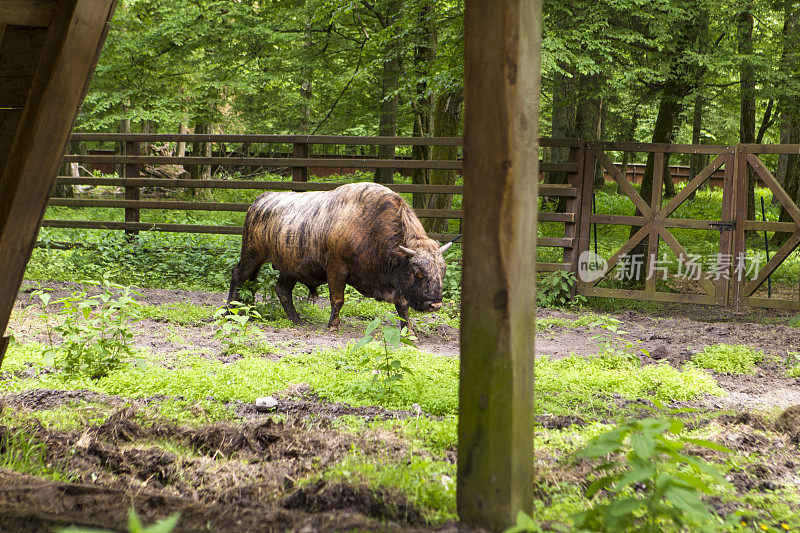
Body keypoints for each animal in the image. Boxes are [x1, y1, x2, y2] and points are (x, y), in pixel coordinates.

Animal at [227, 185, 450, 330]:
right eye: (418, 273)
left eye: (442, 271)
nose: (435, 304)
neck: (370, 226)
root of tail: (259, 201)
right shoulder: (337, 270)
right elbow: (337, 300)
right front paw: (333, 326)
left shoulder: (397, 284)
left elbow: (402, 306)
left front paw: (409, 331)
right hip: (252, 256)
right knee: (238, 275)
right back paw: (230, 311)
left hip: (289, 268)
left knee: (281, 289)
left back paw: (296, 320)